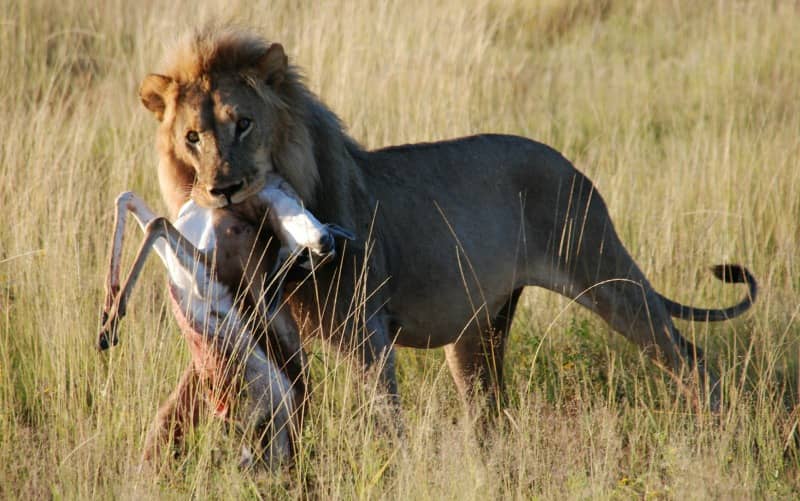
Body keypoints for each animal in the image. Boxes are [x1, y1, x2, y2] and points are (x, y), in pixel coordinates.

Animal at [138, 29, 756, 416]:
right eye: (192, 137)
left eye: (243, 123)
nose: (221, 188)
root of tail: (571, 165)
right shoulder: (263, 328)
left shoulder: (366, 335)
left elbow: (382, 421)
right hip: (479, 330)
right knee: (490, 412)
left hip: (605, 273)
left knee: (689, 357)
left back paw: (715, 431)